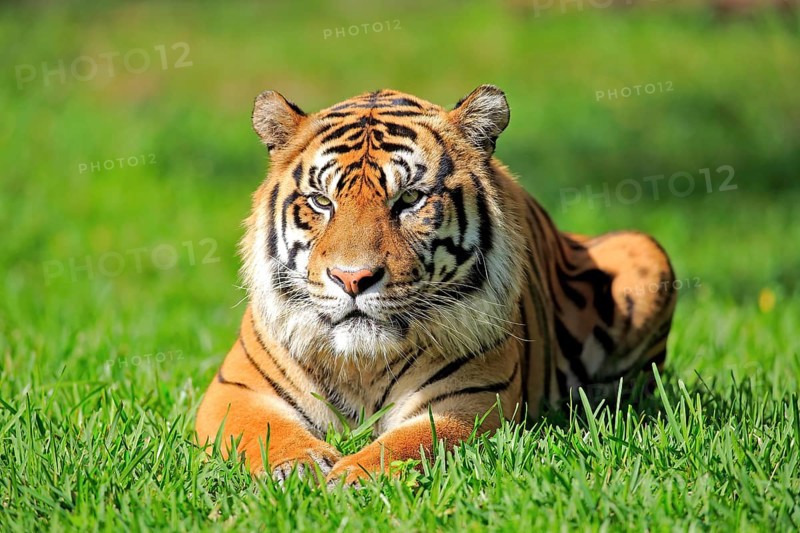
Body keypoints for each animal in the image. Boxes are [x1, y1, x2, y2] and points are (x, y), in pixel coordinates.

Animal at [195, 85, 677, 484]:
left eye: (409, 199)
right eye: (321, 201)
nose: (352, 279)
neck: (363, 366)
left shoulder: (468, 402)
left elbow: (407, 444)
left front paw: (352, 477)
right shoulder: (235, 391)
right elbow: (266, 430)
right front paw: (299, 467)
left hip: (643, 249)